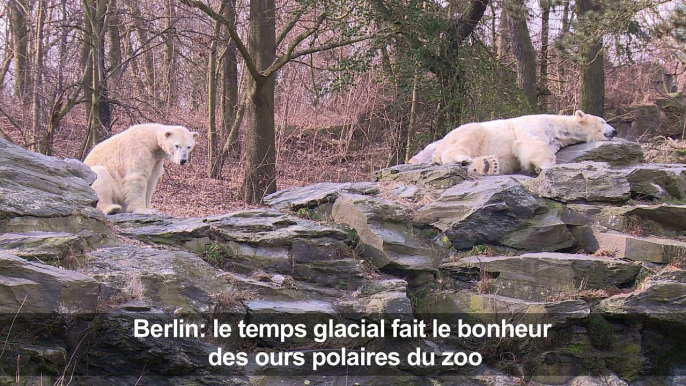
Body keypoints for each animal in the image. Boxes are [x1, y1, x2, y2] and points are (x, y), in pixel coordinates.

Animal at [416, 109, 620, 174]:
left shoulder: (555, 140)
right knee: (470, 136)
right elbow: (532, 143)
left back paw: (489, 165)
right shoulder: (534, 125)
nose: (615, 130)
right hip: (468, 133)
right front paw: (544, 166)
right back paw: (463, 158)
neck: (557, 126)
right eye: (603, 121)